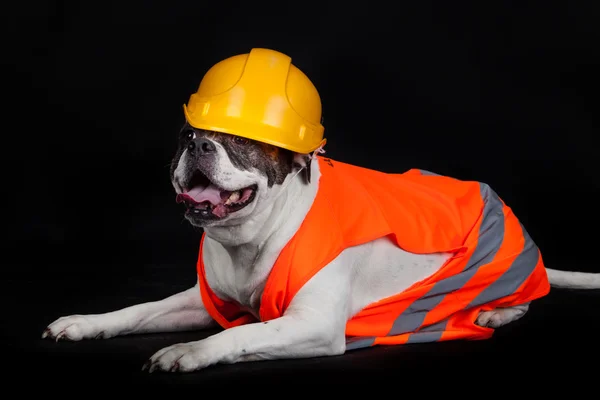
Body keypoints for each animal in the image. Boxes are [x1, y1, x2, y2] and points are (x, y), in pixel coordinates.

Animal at [42, 124, 600, 372]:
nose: (195, 143)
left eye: (240, 142)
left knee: (526, 298)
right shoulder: (200, 299)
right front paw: (85, 323)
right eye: (186, 135)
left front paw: (190, 350)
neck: (255, 235)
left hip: (500, 267)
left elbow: (240, 333)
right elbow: (140, 309)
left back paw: (492, 313)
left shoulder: (314, 324)